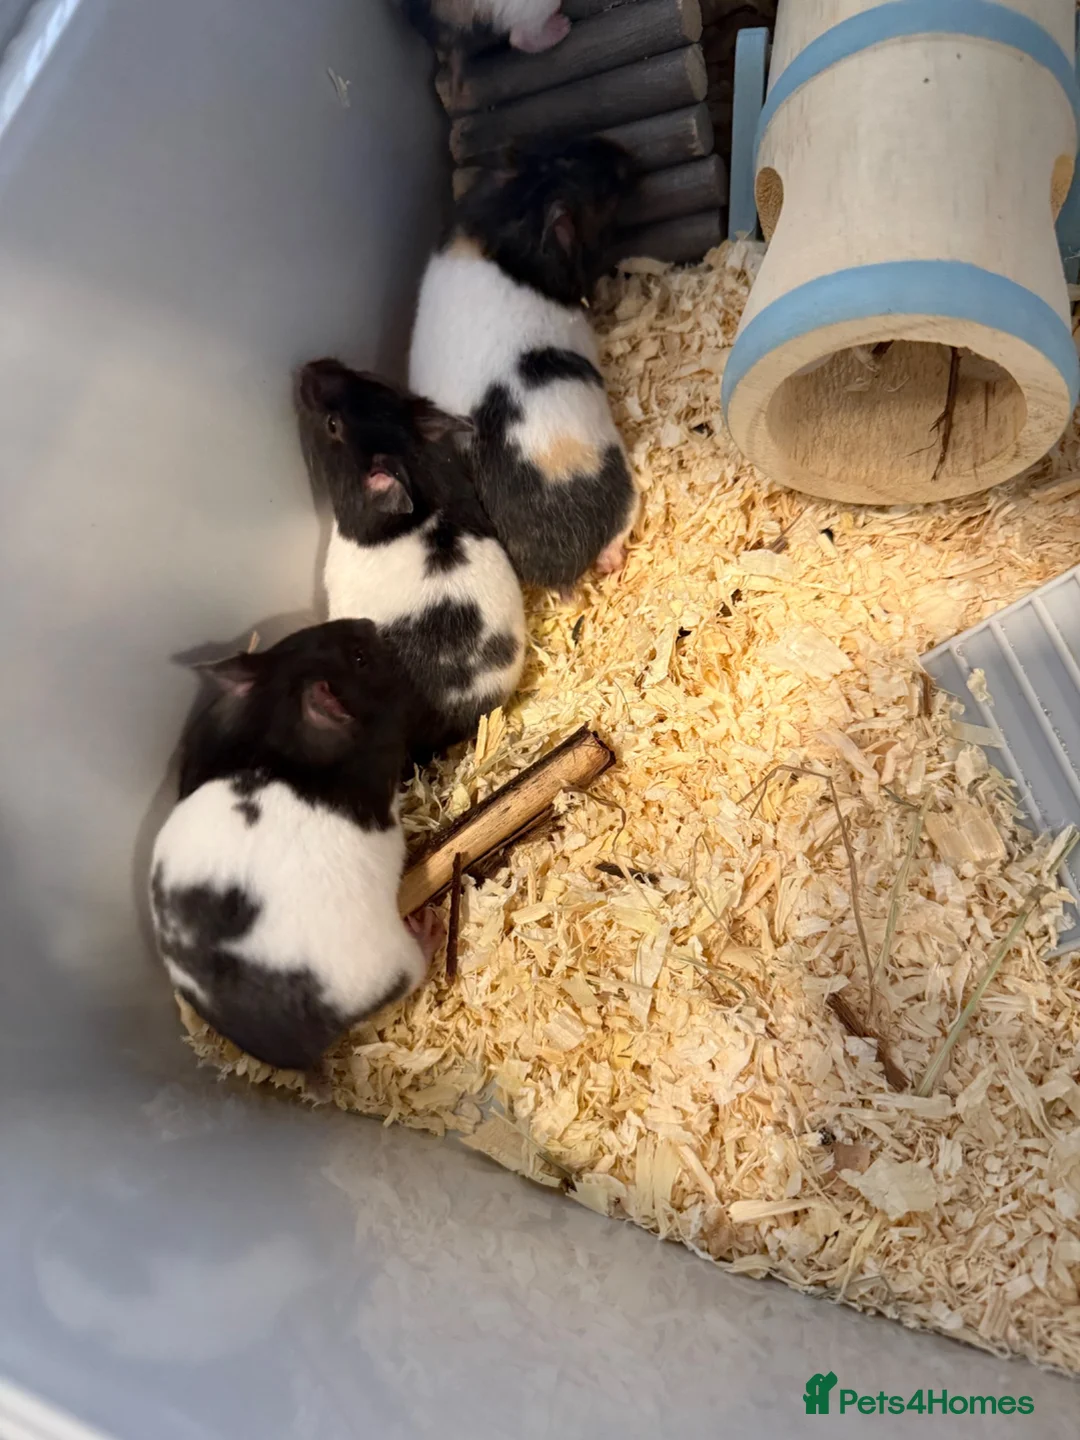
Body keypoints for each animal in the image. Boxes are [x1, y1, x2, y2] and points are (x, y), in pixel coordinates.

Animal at [150, 618, 443, 1073]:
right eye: (360, 657)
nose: (368, 623)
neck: (282, 738)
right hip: (391, 961)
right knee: (413, 970)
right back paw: (429, 930)